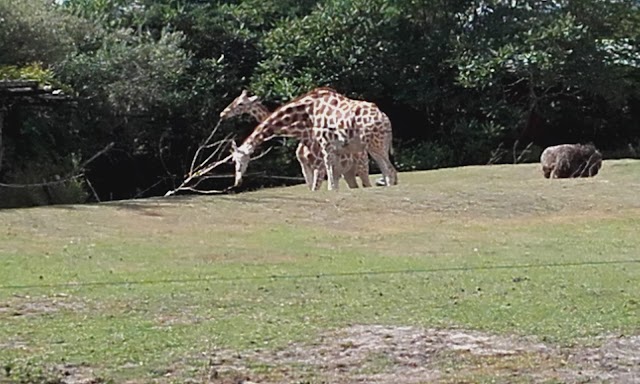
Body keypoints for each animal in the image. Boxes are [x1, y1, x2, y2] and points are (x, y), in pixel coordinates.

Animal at [230, 86, 396, 190]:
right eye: (233, 161)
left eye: (240, 103)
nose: (237, 181)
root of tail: (385, 118)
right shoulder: (311, 164)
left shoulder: (324, 148)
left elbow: (327, 178)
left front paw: (331, 189)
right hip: (372, 150)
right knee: (389, 172)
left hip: (373, 150)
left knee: (389, 172)